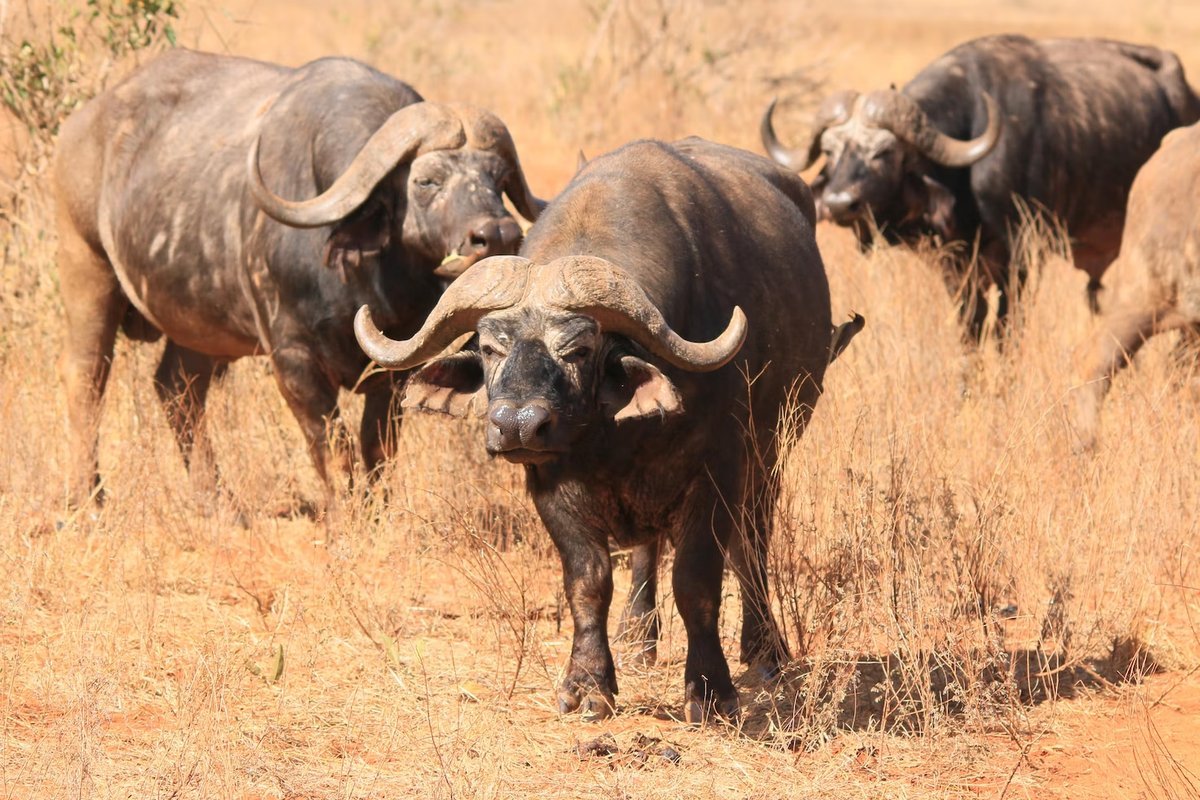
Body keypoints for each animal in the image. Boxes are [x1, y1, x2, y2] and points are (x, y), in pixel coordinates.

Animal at [55, 50, 544, 513]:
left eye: (499, 179)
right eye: (426, 180)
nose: (497, 234)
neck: (362, 279)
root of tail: (80, 125)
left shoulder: (395, 367)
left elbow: (376, 448)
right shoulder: (292, 361)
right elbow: (332, 447)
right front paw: (344, 515)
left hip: (197, 328)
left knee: (177, 389)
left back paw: (219, 502)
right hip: (86, 271)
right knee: (87, 380)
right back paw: (88, 499)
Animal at [763, 34, 1195, 340]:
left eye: (884, 152)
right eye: (830, 151)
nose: (839, 204)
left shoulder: (1022, 258)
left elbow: (1006, 330)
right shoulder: (956, 268)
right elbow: (971, 328)